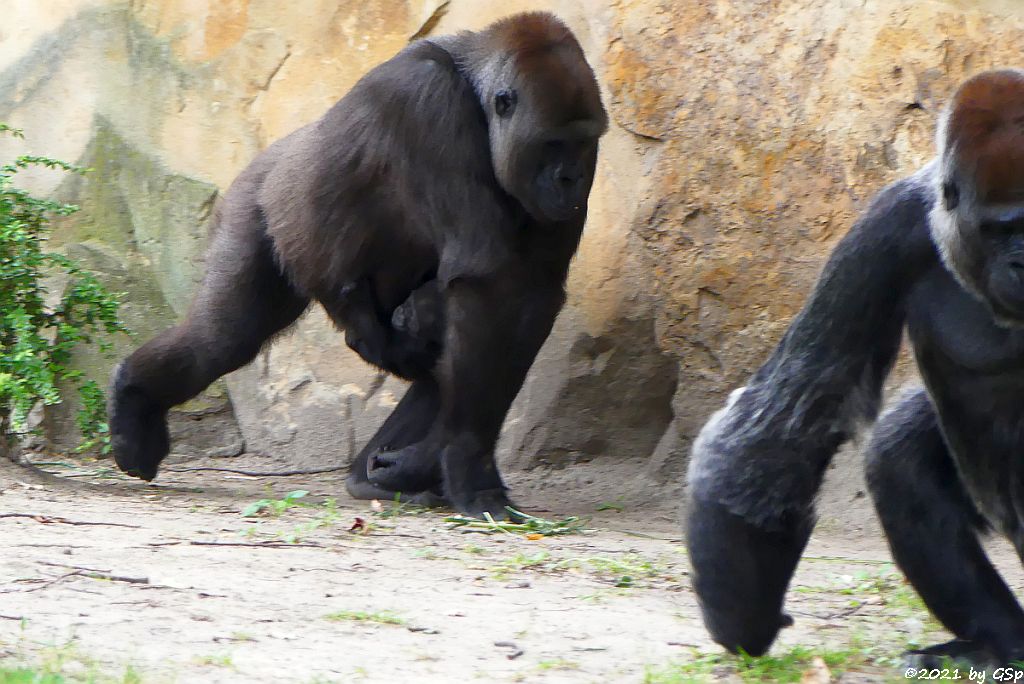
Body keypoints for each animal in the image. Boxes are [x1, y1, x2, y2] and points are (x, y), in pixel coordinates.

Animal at [110, 12, 606, 518]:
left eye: (583, 144)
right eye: (553, 144)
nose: (571, 178)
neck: (472, 86)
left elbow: (526, 297)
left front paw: (424, 462)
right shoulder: (423, 101)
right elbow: (490, 287)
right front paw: (469, 462)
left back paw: (370, 475)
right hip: (257, 203)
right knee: (221, 338)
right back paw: (135, 398)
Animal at [688, 69, 1024, 667]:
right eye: (999, 229)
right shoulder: (893, 226)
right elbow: (792, 407)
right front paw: (742, 614)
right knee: (897, 456)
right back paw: (999, 642)